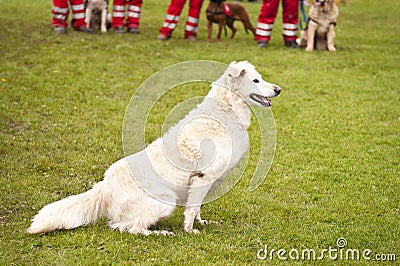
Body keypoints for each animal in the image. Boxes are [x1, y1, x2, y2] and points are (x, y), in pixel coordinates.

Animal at [27, 61, 282, 236]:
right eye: (256, 81)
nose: (278, 89)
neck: (226, 109)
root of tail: (104, 187)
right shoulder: (203, 177)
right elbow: (191, 210)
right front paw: (190, 231)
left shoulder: (205, 182)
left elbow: (197, 207)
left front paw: (201, 223)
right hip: (165, 200)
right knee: (128, 227)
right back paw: (161, 232)